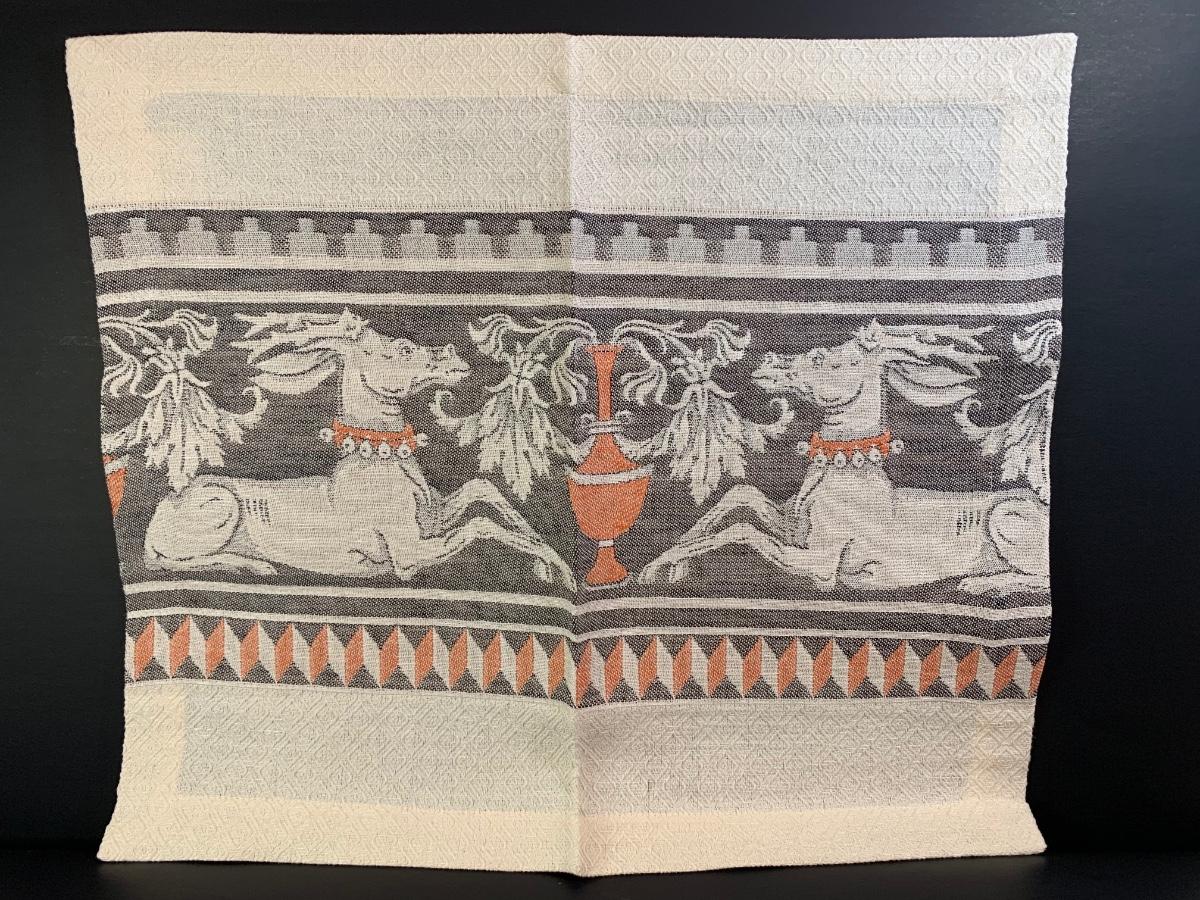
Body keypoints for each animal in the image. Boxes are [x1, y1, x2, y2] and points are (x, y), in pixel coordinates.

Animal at [142, 308, 577, 589]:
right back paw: (256, 566)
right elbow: (480, 523)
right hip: (221, 504)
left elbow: (483, 489)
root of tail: (155, 519)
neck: (384, 464)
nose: (453, 358)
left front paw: (552, 565)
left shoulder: (432, 518)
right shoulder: (407, 553)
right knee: (175, 560)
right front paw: (559, 571)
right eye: (402, 348)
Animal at [638, 320, 1051, 596]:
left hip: (1006, 516)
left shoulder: (821, 562)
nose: (769, 362)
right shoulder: (793, 529)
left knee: (1039, 577)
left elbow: (742, 529)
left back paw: (984, 584)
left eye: (825, 358)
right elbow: (740, 493)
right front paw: (671, 562)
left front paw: (655, 568)